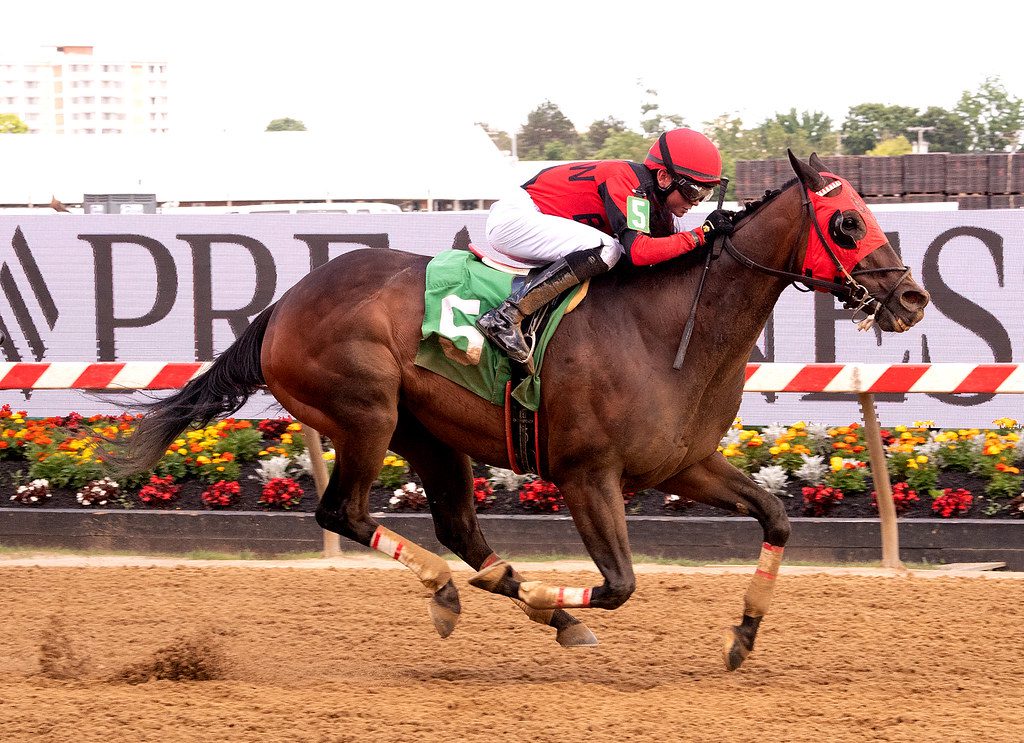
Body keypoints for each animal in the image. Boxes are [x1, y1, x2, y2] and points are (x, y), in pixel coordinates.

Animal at [117, 152, 929, 675]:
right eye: (847, 223)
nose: (912, 298)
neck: (669, 330)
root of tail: (282, 307)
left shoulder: (686, 463)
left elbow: (777, 518)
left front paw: (743, 636)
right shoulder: (586, 474)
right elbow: (620, 583)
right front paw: (545, 591)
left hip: (429, 433)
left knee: (457, 526)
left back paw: (521, 601)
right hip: (365, 413)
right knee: (342, 511)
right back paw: (466, 589)